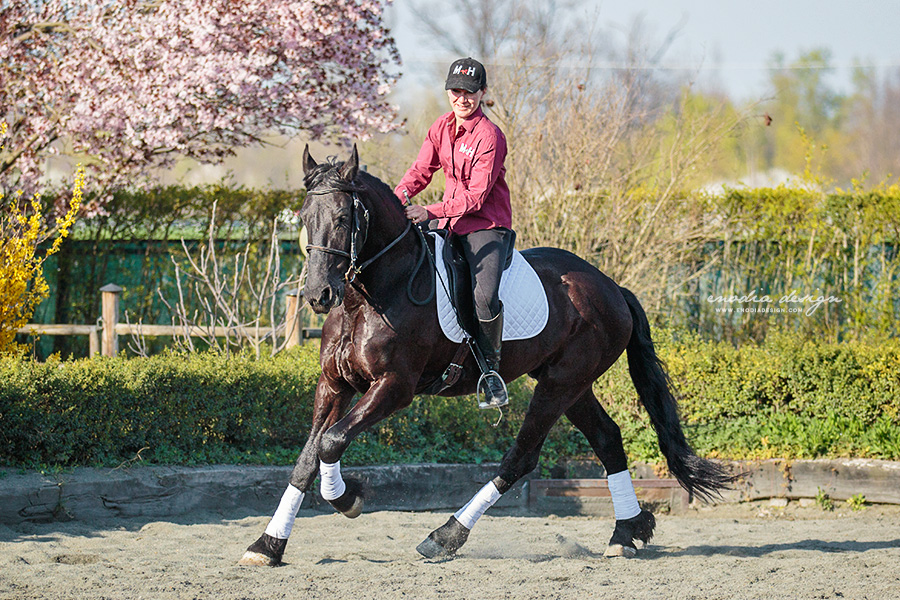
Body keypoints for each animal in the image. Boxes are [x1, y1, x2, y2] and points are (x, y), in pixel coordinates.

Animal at [239, 146, 732, 568]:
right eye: (305, 216)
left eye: (343, 217)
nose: (318, 295)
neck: (370, 296)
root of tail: (610, 286)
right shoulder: (334, 384)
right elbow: (308, 458)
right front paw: (267, 545)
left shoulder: (394, 387)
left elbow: (331, 442)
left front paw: (351, 497)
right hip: (573, 384)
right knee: (608, 439)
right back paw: (625, 533)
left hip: (559, 384)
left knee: (522, 457)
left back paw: (445, 536)